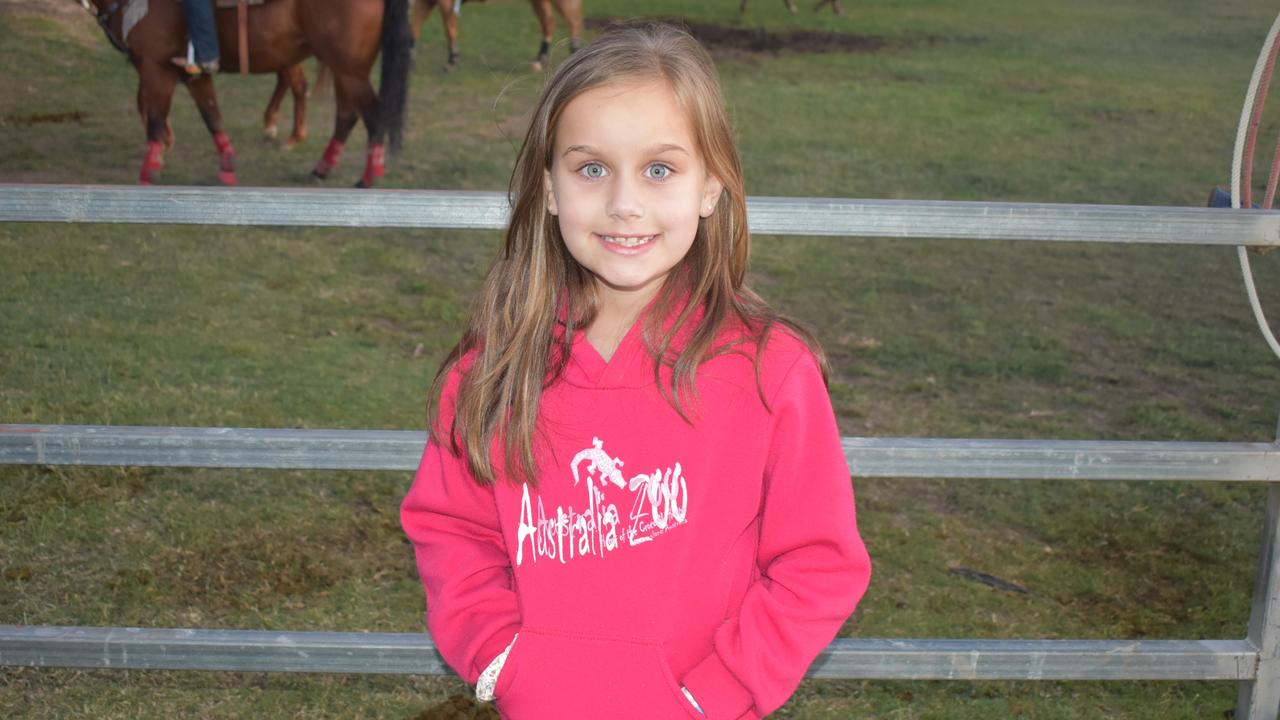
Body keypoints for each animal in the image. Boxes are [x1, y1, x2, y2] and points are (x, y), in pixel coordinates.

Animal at [82, 0, 409, 188]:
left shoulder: (155, 66)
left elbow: (153, 117)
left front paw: (148, 171)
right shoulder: (191, 71)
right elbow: (211, 114)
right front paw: (227, 168)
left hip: (348, 68)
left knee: (373, 114)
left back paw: (367, 179)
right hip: (344, 67)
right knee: (347, 114)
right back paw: (320, 169)